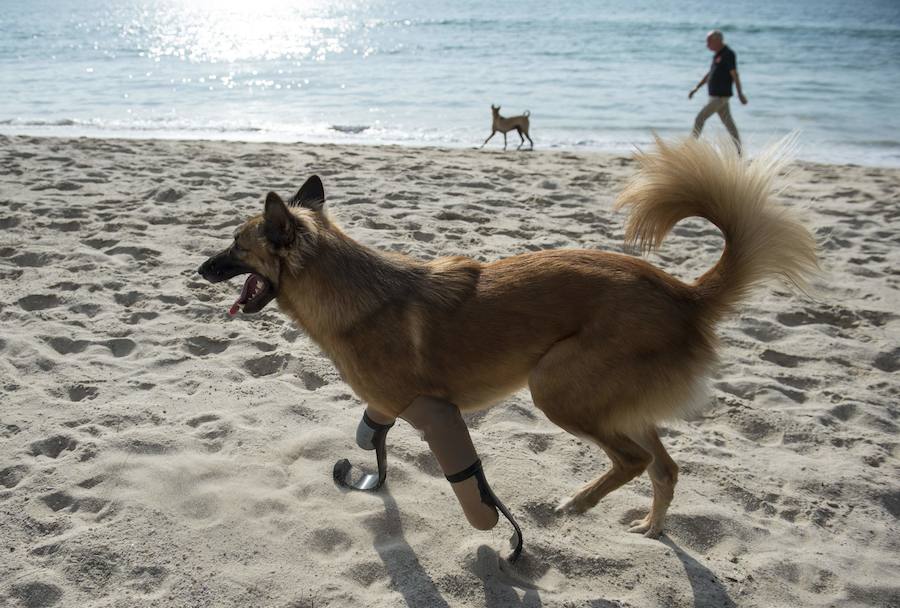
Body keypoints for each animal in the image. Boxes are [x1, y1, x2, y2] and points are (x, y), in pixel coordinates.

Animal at [200, 139, 820, 540]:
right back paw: (650, 527)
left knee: (635, 461)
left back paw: (577, 503)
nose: (200, 269)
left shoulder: (429, 409)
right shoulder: (388, 405)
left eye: (236, 244)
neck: (352, 291)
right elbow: (373, 436)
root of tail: (683, 293)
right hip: (616, 400)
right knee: (664, 468)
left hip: (557, 386)